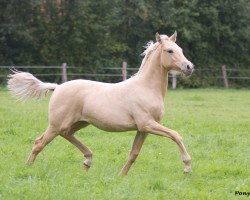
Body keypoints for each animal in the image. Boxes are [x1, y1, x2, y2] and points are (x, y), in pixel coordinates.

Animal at [8, 32, 193, 175]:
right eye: (170, 50)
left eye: (181, 50)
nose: (189, 67)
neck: (146, 88)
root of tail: (58, 87)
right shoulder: (147, 124)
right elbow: (176, 135)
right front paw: (187, 167)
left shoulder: (143, 129)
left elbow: (134, 153)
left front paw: (121, 176)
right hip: (57, 124)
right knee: (39, 143)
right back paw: (27, 168)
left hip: (78, 123)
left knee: (66, 134)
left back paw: (88, 160)